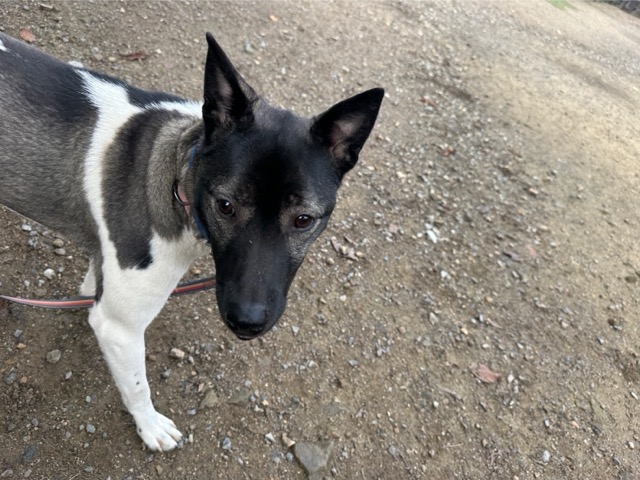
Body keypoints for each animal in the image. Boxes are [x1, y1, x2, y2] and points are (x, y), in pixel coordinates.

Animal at [0, 31, 383, 451]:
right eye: (225, 206)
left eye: (303, 220)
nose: (247, 321)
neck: (180, 177)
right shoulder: (119, 327)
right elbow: (137, 386)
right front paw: (150, 426)